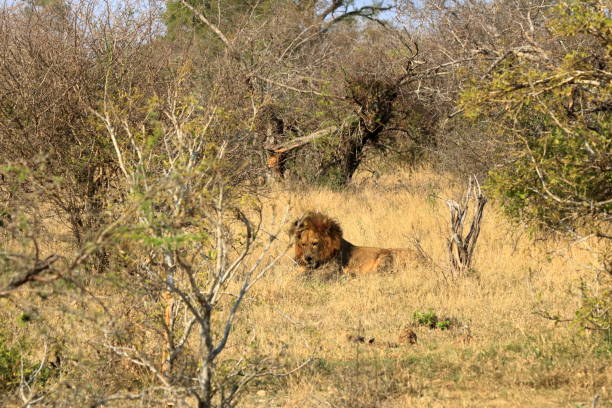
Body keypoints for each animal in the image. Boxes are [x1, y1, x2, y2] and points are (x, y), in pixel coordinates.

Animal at [290, 212, 424, 276]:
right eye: (303, 244)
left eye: (315, 243)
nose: (307, 258)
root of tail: (424, 258)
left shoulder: (331, 270)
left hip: (387, 255)